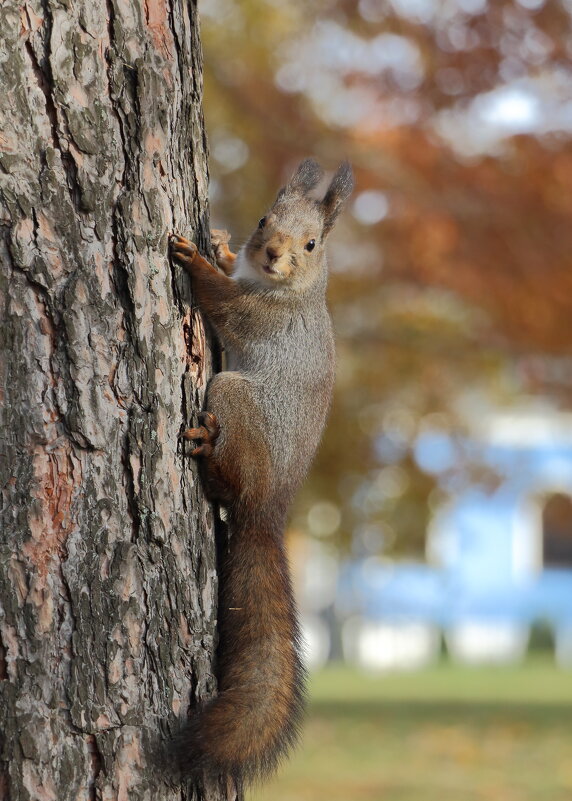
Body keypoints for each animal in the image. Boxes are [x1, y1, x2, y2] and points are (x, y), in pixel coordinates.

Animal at [169, 158, 354, 788]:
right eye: (262, 220)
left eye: (312, 244)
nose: (271, 253)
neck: (284, 286)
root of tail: (269, 507)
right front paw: (223, 248)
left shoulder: (257, 316)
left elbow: (222, 302)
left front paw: (196, 259)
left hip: (232, 396)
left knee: (227, 481)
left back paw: (206, 449)